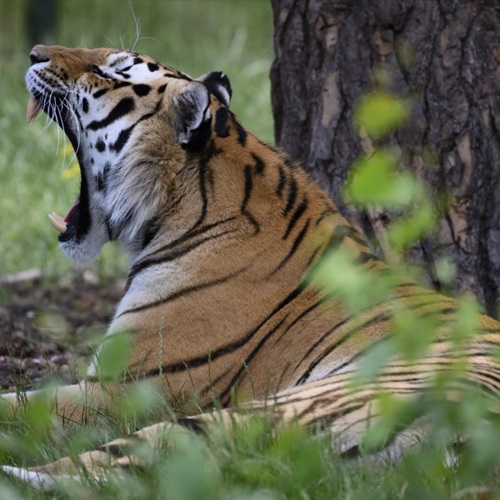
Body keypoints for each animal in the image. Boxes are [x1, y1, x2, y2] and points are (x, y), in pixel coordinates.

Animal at [0, 45, 500, 486]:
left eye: (113, 71)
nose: (34, 54)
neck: (182, 203)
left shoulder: (124, 387)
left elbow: (20, 404)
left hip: (263, 411)